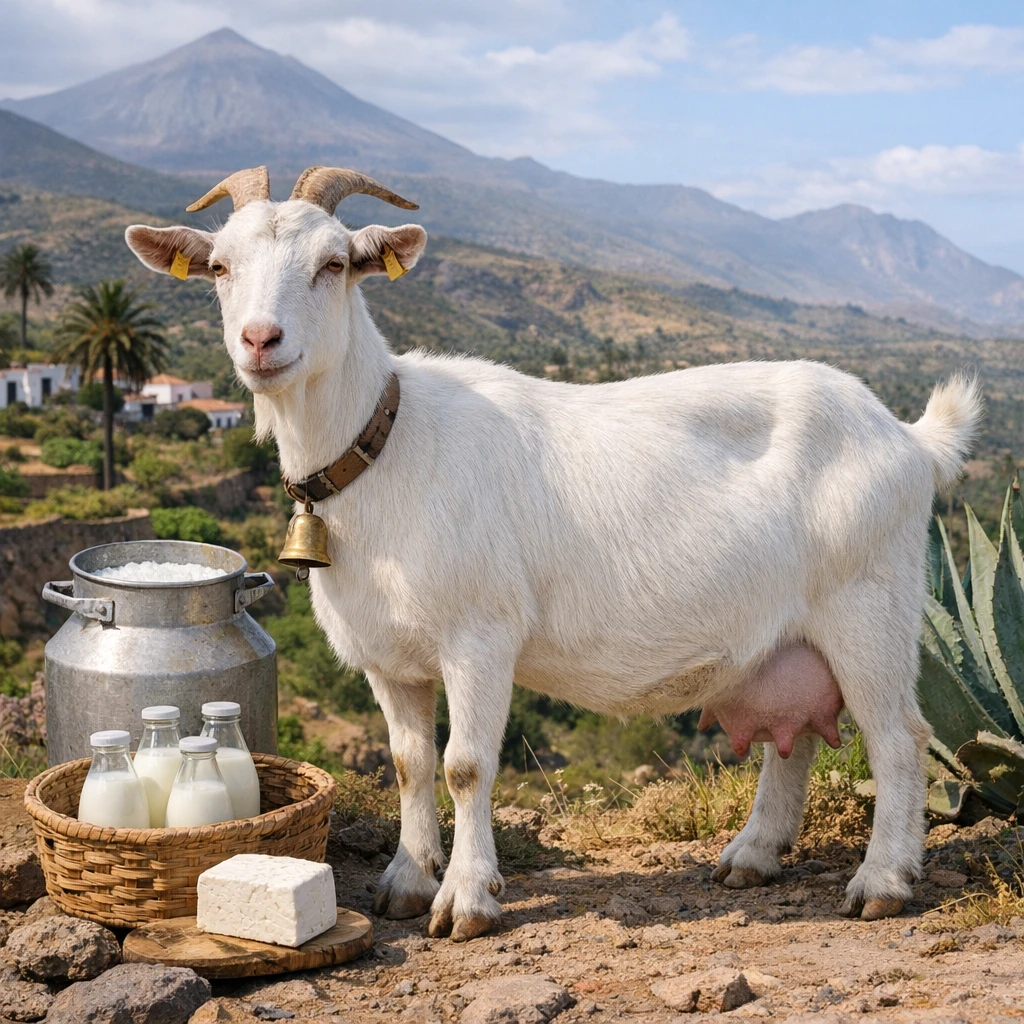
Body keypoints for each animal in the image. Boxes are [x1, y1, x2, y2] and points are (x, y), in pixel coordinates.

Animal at [126, 165, 982, 941]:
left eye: (333, 263)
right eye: (219, 267)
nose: (260, 341)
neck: (387, 444)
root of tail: (907, 438)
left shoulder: (479, 635)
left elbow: (466, 764)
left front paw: (466, 901)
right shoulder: (388, 658)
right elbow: (408, 763)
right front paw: (406, 881)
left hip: (868, 602)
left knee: (898, 737)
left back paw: (883, 882)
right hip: (789, 633)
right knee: (792, 733)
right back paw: (752, 854)